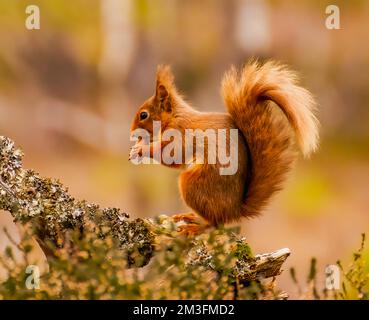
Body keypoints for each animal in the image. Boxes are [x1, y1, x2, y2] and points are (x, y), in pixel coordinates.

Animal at [129, 61, 316, 234]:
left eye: (144, 115)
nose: (132, 133)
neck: (175, 117)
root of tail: (234, 210)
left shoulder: (181, 135)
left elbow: (172, 156)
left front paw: (141, 149)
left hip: (192, 185)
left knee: (214, 223)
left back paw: (194, 227)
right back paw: (191, 217)